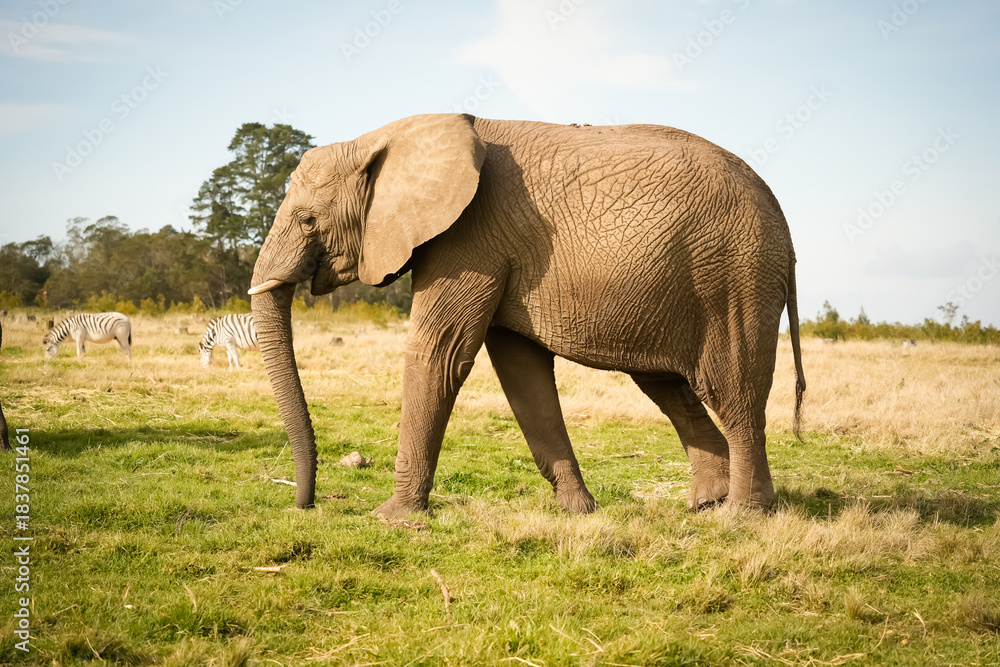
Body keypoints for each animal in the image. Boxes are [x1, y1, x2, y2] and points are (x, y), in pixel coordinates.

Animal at [249, 114, 806, 516]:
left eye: (308, 220)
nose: (305, 505)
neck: (382, 137)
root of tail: (783, 221)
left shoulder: (469, 237)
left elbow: (439, 353)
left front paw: (393, 518)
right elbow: (521, 371)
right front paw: (579, 512)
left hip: (734, 278)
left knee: (732, 389)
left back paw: (741, 515)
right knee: (668, 386)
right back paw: (707, 504)